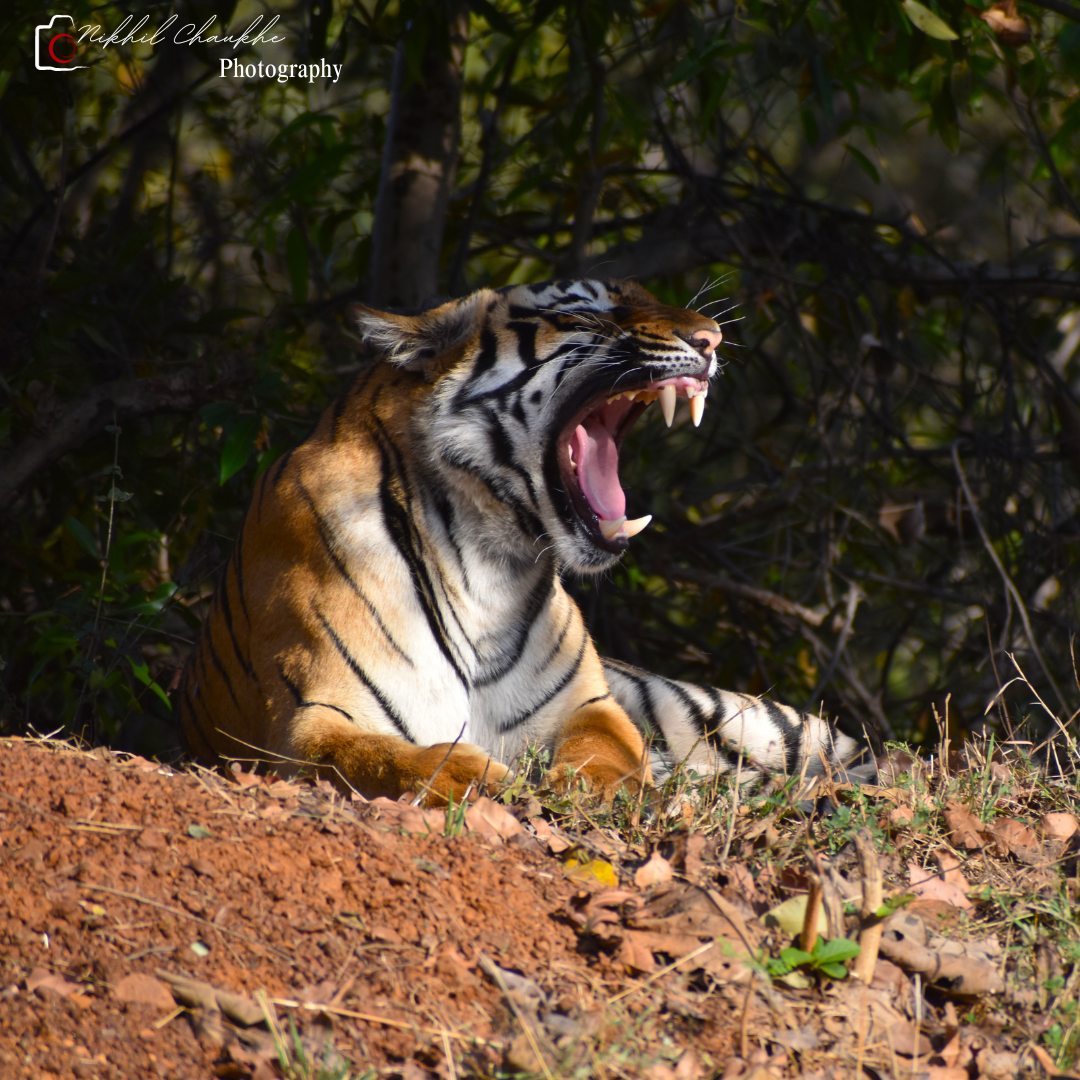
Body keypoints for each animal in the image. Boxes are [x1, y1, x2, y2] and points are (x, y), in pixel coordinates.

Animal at [179, 278, 859, 803]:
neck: (482, 563)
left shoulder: (588, 703)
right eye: (585, 312)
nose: (712, 339)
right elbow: (396, 757)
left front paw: (598, 788)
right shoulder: (308, 724)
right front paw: (481, 777)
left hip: (726, 713)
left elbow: (607, 747)